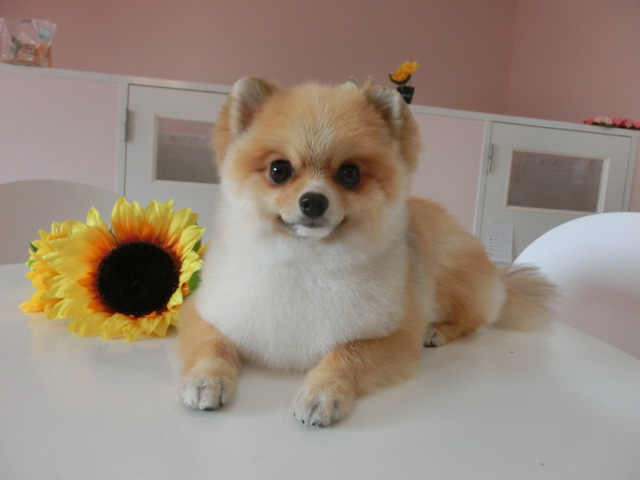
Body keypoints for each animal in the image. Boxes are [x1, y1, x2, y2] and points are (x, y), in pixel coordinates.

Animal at [178, 77, 557, 427]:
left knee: (474, 316)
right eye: (278, 170)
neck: (306, 261)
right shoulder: (206, 311)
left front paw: (323, 392)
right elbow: (213, 344)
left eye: (350, 173)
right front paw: (205, 379)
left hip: (451, 269)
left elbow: (349, 352)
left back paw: (437, 331)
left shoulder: (396, 335)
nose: (313, 201)